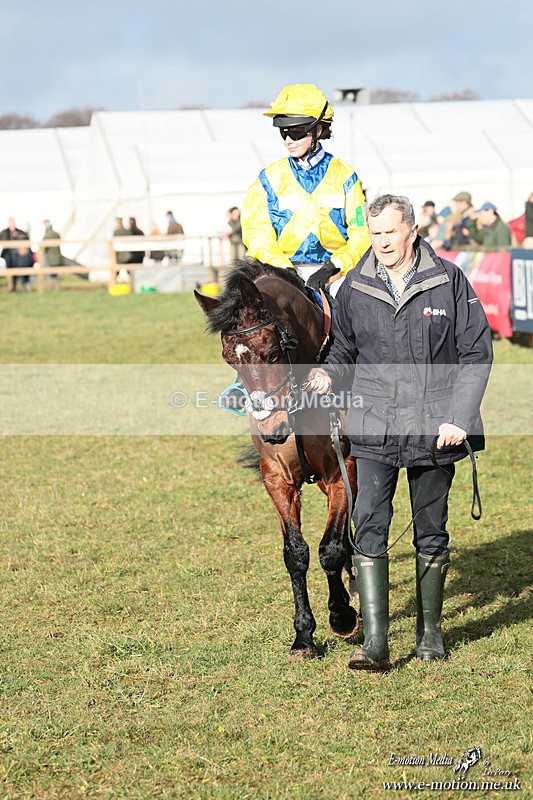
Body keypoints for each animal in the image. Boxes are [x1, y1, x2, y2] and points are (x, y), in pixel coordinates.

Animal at [194, 260, 359, 660]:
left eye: (272, 352)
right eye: (229, 359)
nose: (272, 429)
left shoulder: (342, 470)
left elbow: (331, 548)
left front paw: (341, 616)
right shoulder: (278, 480)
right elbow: (295, 554)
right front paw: (304, 636)